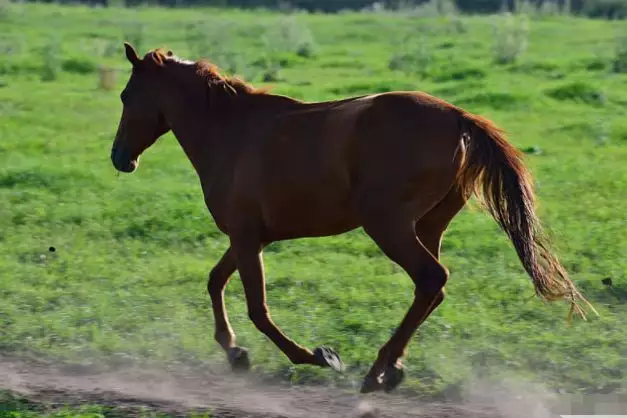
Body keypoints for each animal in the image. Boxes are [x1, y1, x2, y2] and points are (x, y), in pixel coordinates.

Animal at [111, 43, 600, 396]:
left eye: (126, 95)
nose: (120, 158)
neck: (231, 132)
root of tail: (460, 119)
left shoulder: (248, 237)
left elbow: (258, 309)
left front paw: (319, 356)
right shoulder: (250, 237)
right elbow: (215, 282)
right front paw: (235, 354)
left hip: (387, 224)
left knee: (431, 278)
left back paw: (377, 371)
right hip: (427, 225)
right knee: (432, 288)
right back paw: (391, 369)